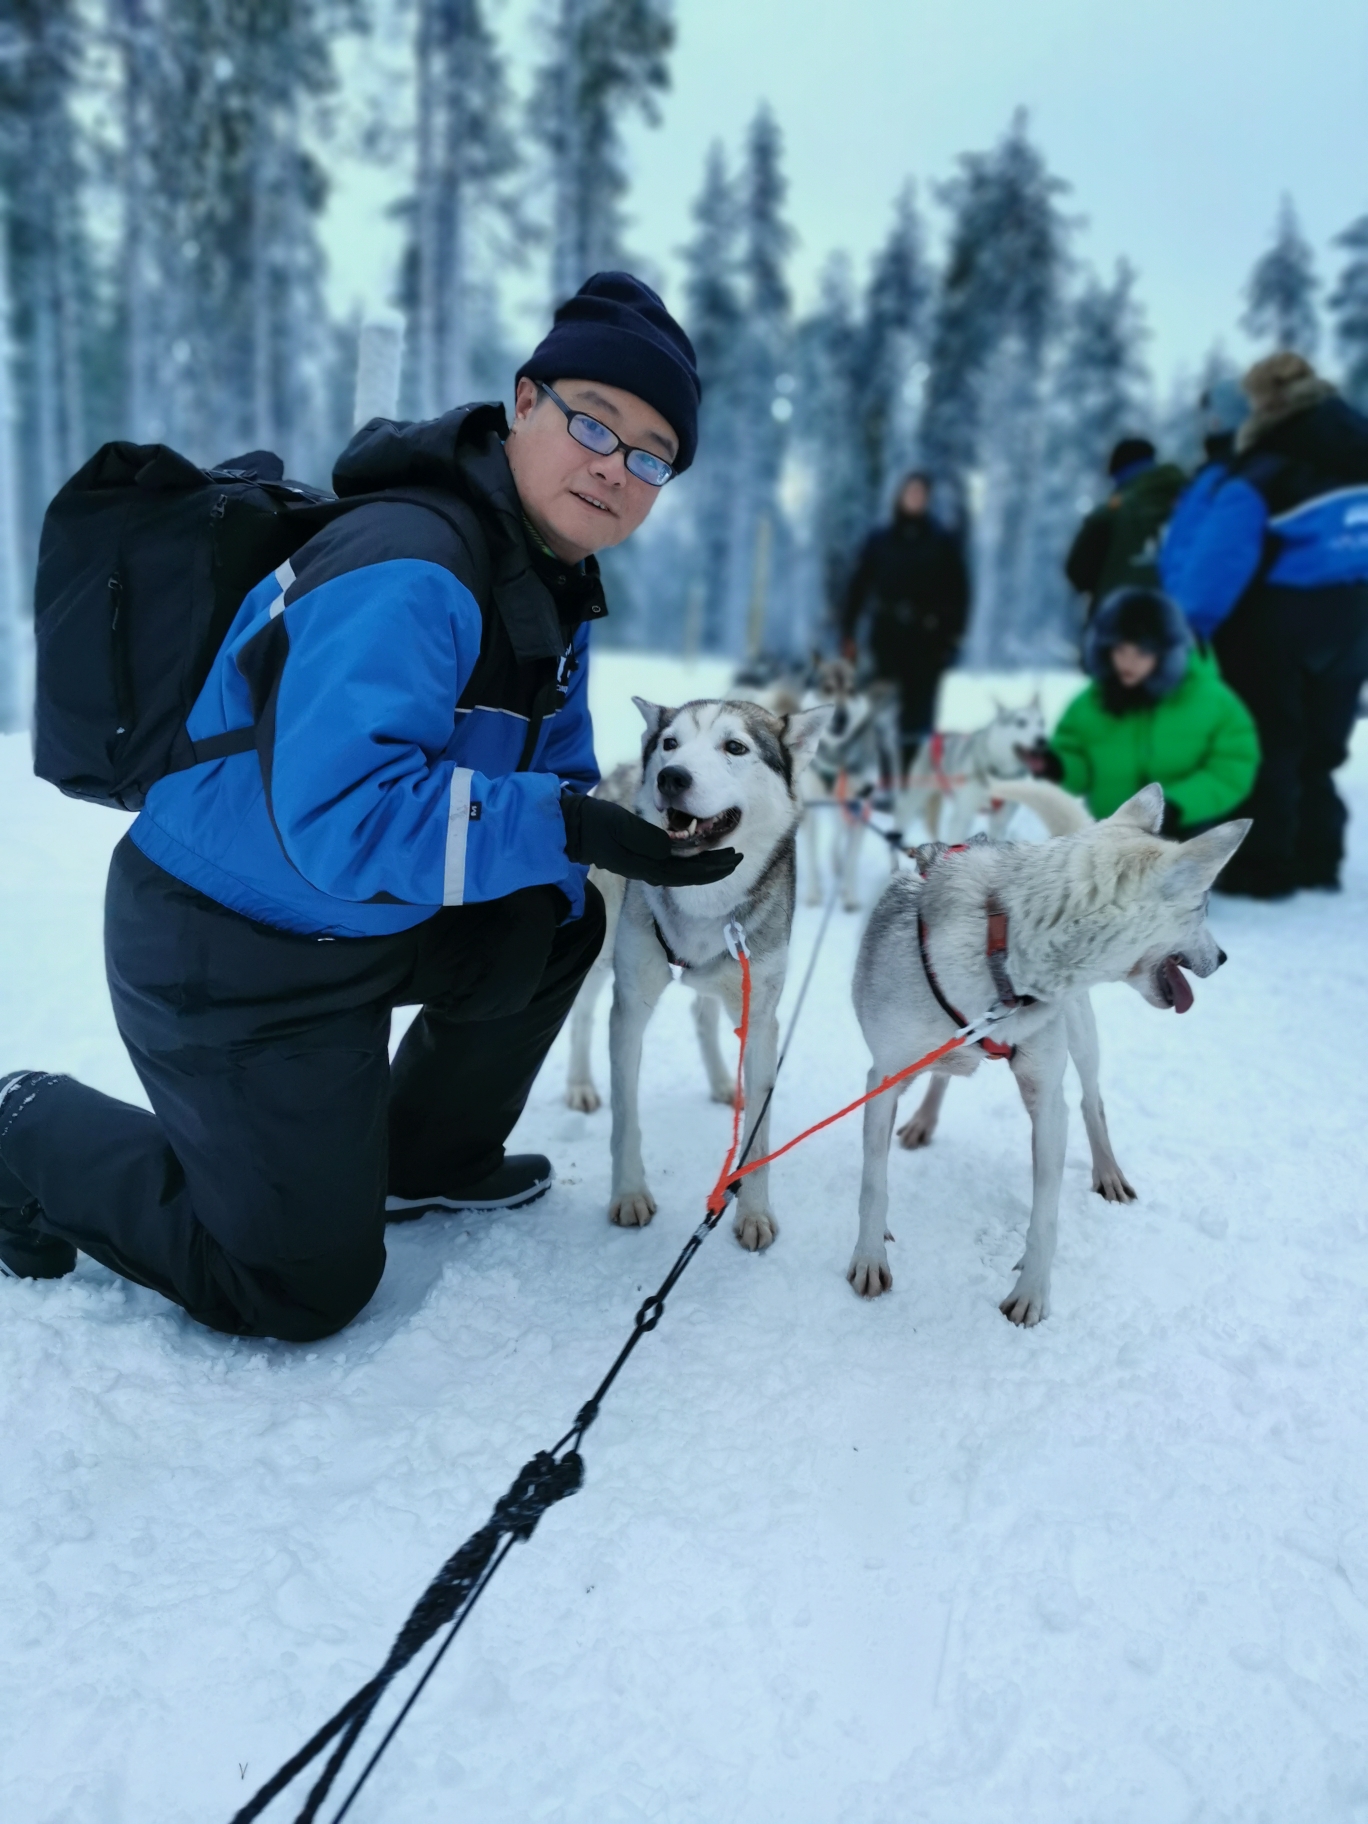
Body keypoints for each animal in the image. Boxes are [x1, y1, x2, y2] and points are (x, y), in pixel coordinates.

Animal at [612, 696, 831, 1254]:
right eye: (671, 743)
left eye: (735, 747)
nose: (670, 776)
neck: (702, 900)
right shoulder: (630, 1008)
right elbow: (626, 1118)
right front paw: (628, 1193)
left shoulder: (762, 1022)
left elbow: (758, 1129)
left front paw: (752, 1212)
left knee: (701, 1011)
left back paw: (720, 1082)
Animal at [798, 656, 904, 912]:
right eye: (827, 688)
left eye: (851, 690)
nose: (841, 717)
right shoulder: (810, 809)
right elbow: (811, 855)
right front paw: (814, 894)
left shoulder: (860, 806)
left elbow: (852, 861)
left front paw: (849, 896)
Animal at [857, 784, 1254, 1327]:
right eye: (1202, 908)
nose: (1224, 958)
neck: (999, 952)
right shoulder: (882, 1079)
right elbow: (874, 1183)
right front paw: (869, 1255)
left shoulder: (1046, 1102)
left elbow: (1044, 1211)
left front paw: (1031, 1292)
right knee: (945, 1074)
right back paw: (924, 1119)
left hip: (1081, 1038)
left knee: (1091, 1101)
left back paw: (1107, 1172)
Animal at [901, 696, 1050, 846]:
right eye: (1020, 722)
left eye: (1041, 722)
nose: (1042, 740)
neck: (998, 774)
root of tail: (936, 736)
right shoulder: (962, 817)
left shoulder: (1000, 821)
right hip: (915, 797)